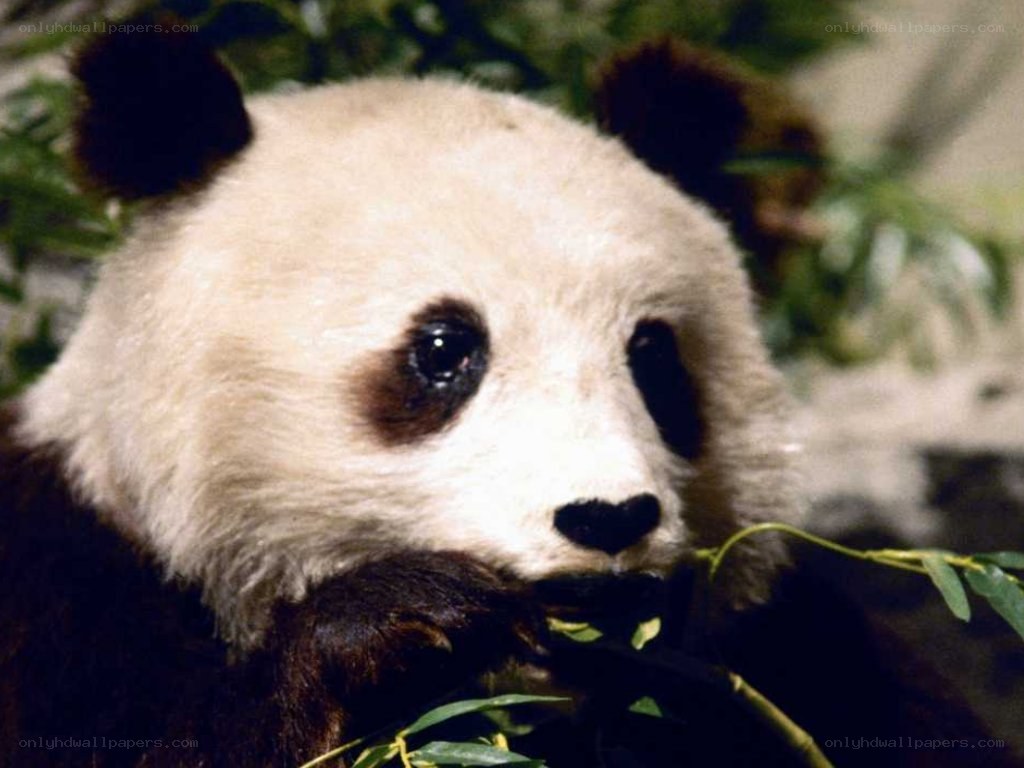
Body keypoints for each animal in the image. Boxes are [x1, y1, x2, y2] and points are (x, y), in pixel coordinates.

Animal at [0, 30, 1009, 768]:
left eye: (652, 358)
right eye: (446, 350)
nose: (608, 516)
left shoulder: (801, 656)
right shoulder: (68, 589)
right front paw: (392, 622)